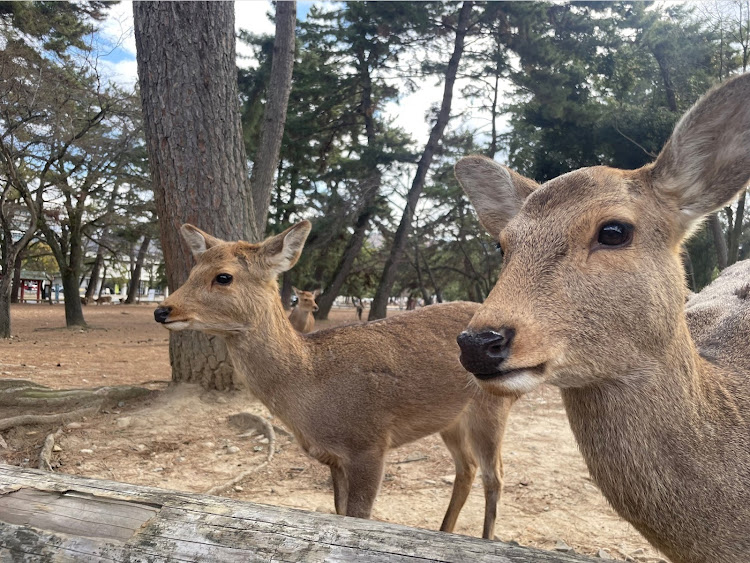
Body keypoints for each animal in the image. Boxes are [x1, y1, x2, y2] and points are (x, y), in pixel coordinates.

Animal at [153, 223, 516, 540]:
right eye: (191, 272)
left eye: (223, 276)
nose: (162, 310)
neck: (311, 387)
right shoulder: (335, 458)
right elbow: (339, 513)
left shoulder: (370, 444)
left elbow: (359, 517)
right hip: (450, 418)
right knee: (467, 469)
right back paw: (445, 532)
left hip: (493, 405)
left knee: (495, 476)